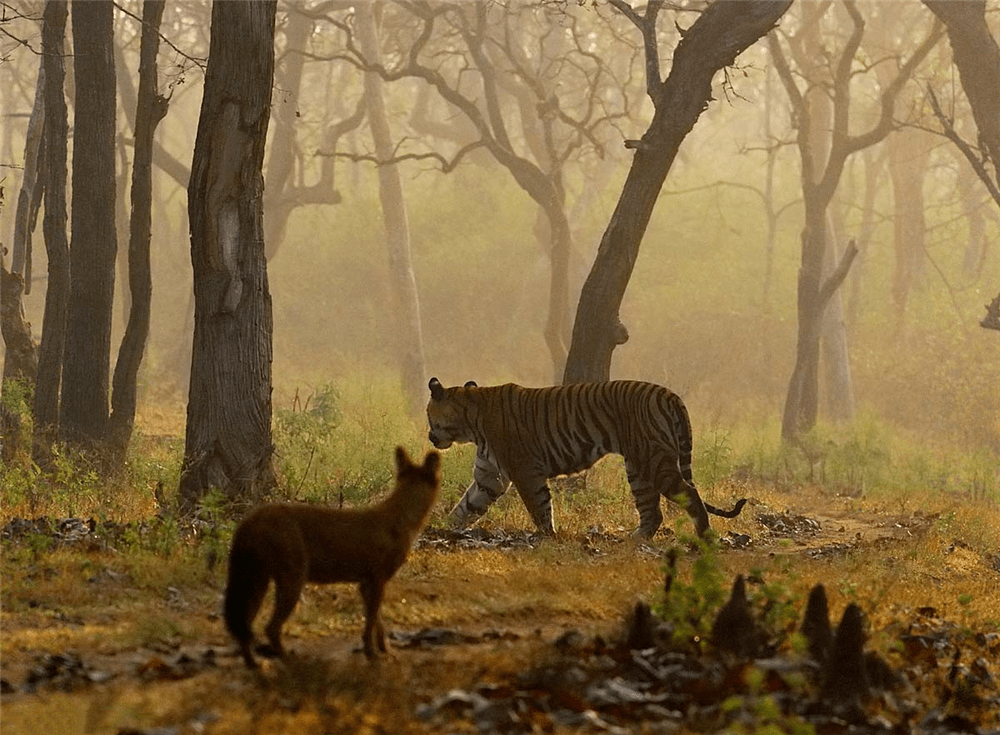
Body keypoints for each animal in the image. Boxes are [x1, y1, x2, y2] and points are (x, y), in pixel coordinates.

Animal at [426, 376, 748, 536]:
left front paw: (547, 536)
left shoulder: (524, 471)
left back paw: (704, 538)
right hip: (638, 467)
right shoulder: (488, 477)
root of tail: (670, 394)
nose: (429, 436)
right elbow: (466, 507)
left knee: (691, 495)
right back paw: (632, 541)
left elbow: (539, 507)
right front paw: (442, 529)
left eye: (429, 416)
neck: (471, 423)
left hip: (655, 461)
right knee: (652, 512)